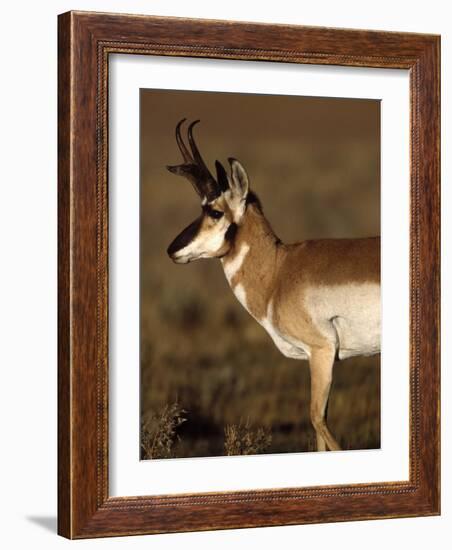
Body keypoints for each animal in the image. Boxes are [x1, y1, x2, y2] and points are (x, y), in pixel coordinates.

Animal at [168, 119, 380, 452]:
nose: (172, 250)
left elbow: (317, 419)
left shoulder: (322, 351)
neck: (279, 270)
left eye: (215, 211)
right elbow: (319, 430)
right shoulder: (317, 359)